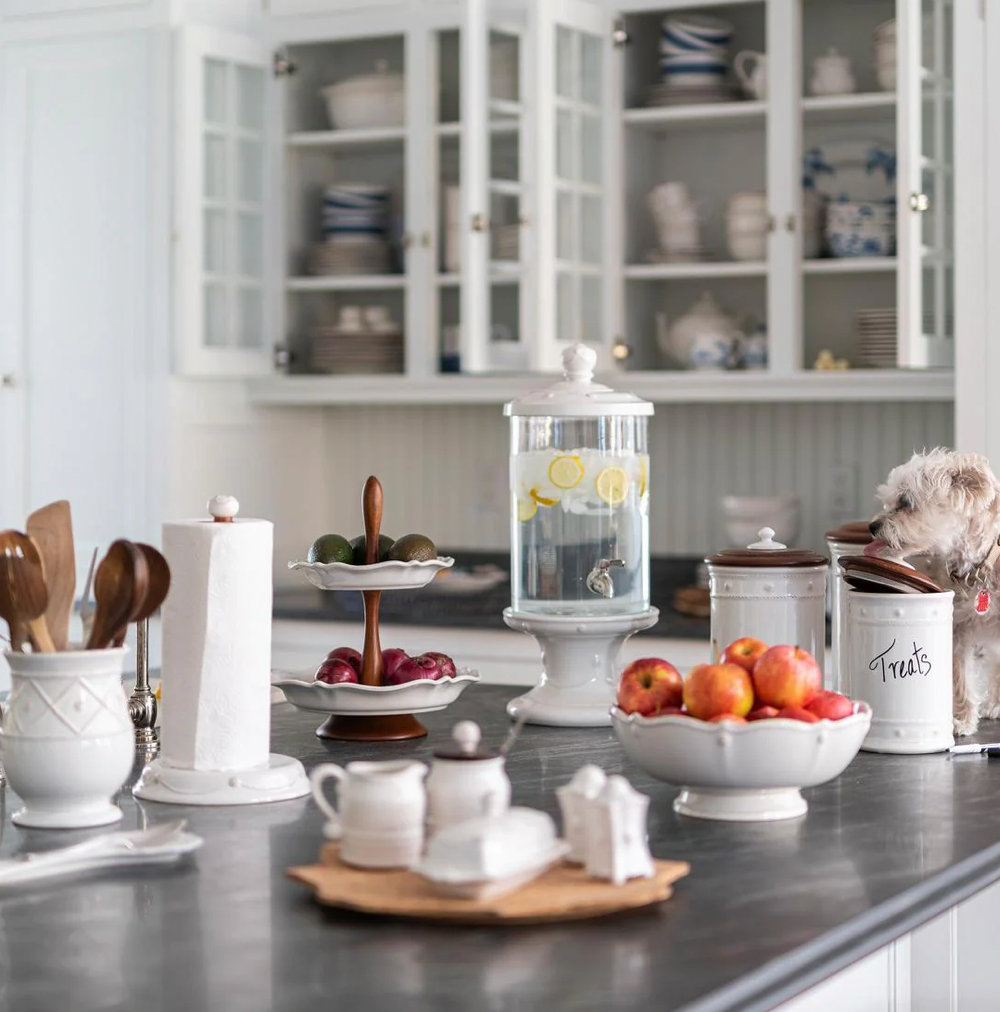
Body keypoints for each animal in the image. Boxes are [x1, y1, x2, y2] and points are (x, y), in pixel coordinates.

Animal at [870, 449, 1000, 736]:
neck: (978, 569)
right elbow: (960, 677)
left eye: (905, 501)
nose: (871, 526)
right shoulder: (957, 629)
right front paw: (962, 719)